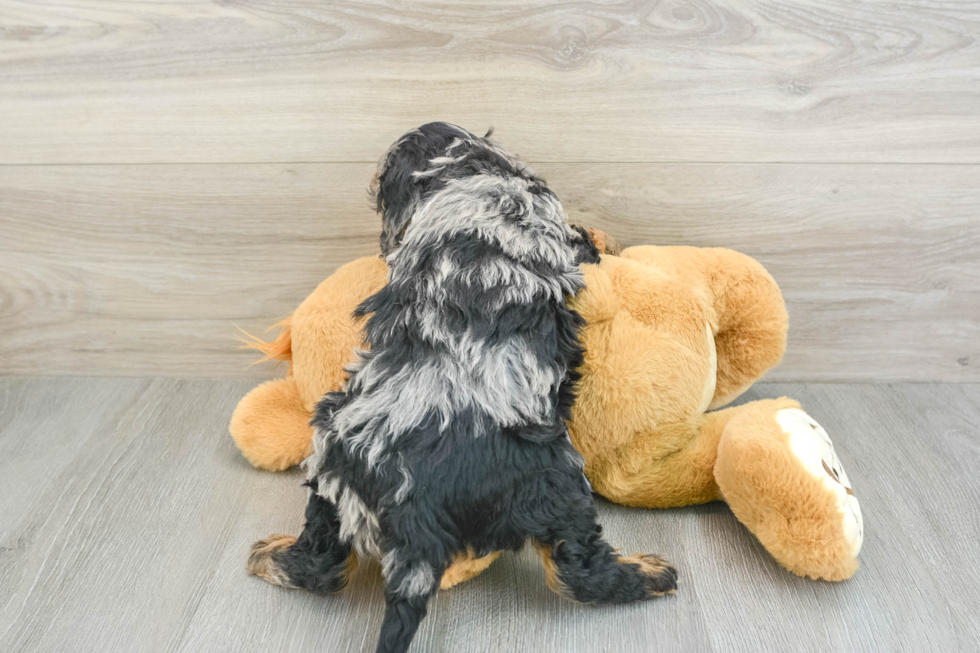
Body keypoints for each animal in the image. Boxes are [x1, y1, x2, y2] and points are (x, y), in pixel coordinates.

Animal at [249, 123, 676, 652]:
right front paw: (602, 236)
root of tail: (417, 518)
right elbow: (583, 242)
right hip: (556, 482)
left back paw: (270, 556)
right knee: (578, 570)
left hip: (332, 466)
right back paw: (651, 574)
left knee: (322, 563)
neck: (464, 172)